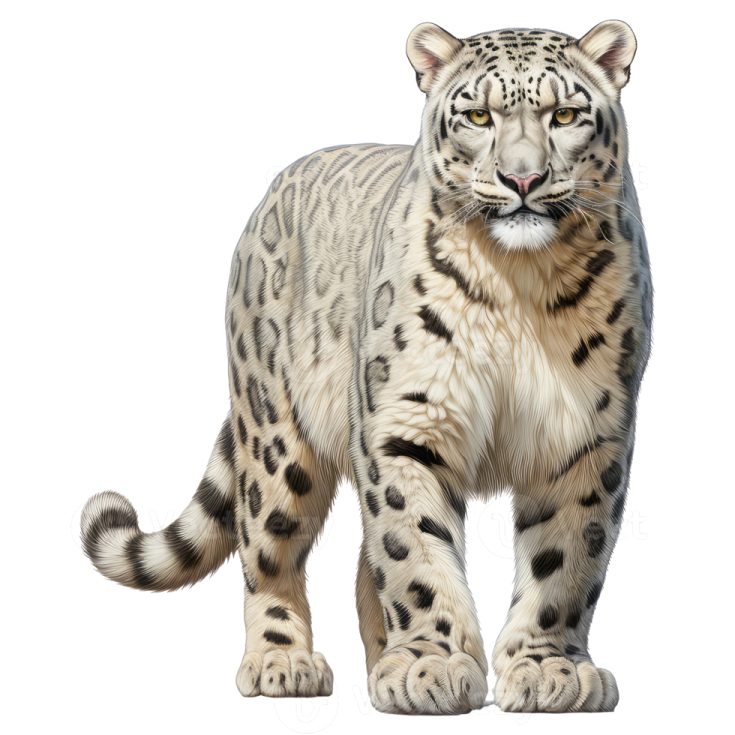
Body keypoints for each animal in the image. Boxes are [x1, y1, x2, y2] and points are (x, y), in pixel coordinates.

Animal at [79, 20, 653, 716]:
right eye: (478, 116)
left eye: (565, 115)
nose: (523, 179)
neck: (519, 279)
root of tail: (283, 182)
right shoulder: (406, 419)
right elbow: (414, 552)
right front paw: (435, 664)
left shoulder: (584, 435)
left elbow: (567, 560)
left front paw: (550, 670)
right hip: (278, 439)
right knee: (270, 548)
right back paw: (285, 663)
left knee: (360, 569)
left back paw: (381, 665)